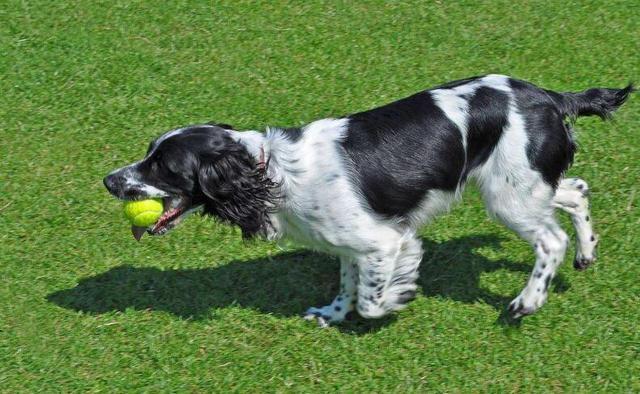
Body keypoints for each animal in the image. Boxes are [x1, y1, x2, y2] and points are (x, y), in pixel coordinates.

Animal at [102, 74, 632, 326]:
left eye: (163, 166)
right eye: (149, 153)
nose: (109, 181)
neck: (273, 170)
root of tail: (549, 96)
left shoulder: (383, 241)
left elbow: (372, 299)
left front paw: (400, 294)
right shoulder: (349, 244)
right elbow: (347, 285)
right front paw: (332, 315)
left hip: (509, 195)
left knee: (550, 241)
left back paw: (527, 301)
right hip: (523, 183)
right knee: (576, 191)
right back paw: (587, 254)